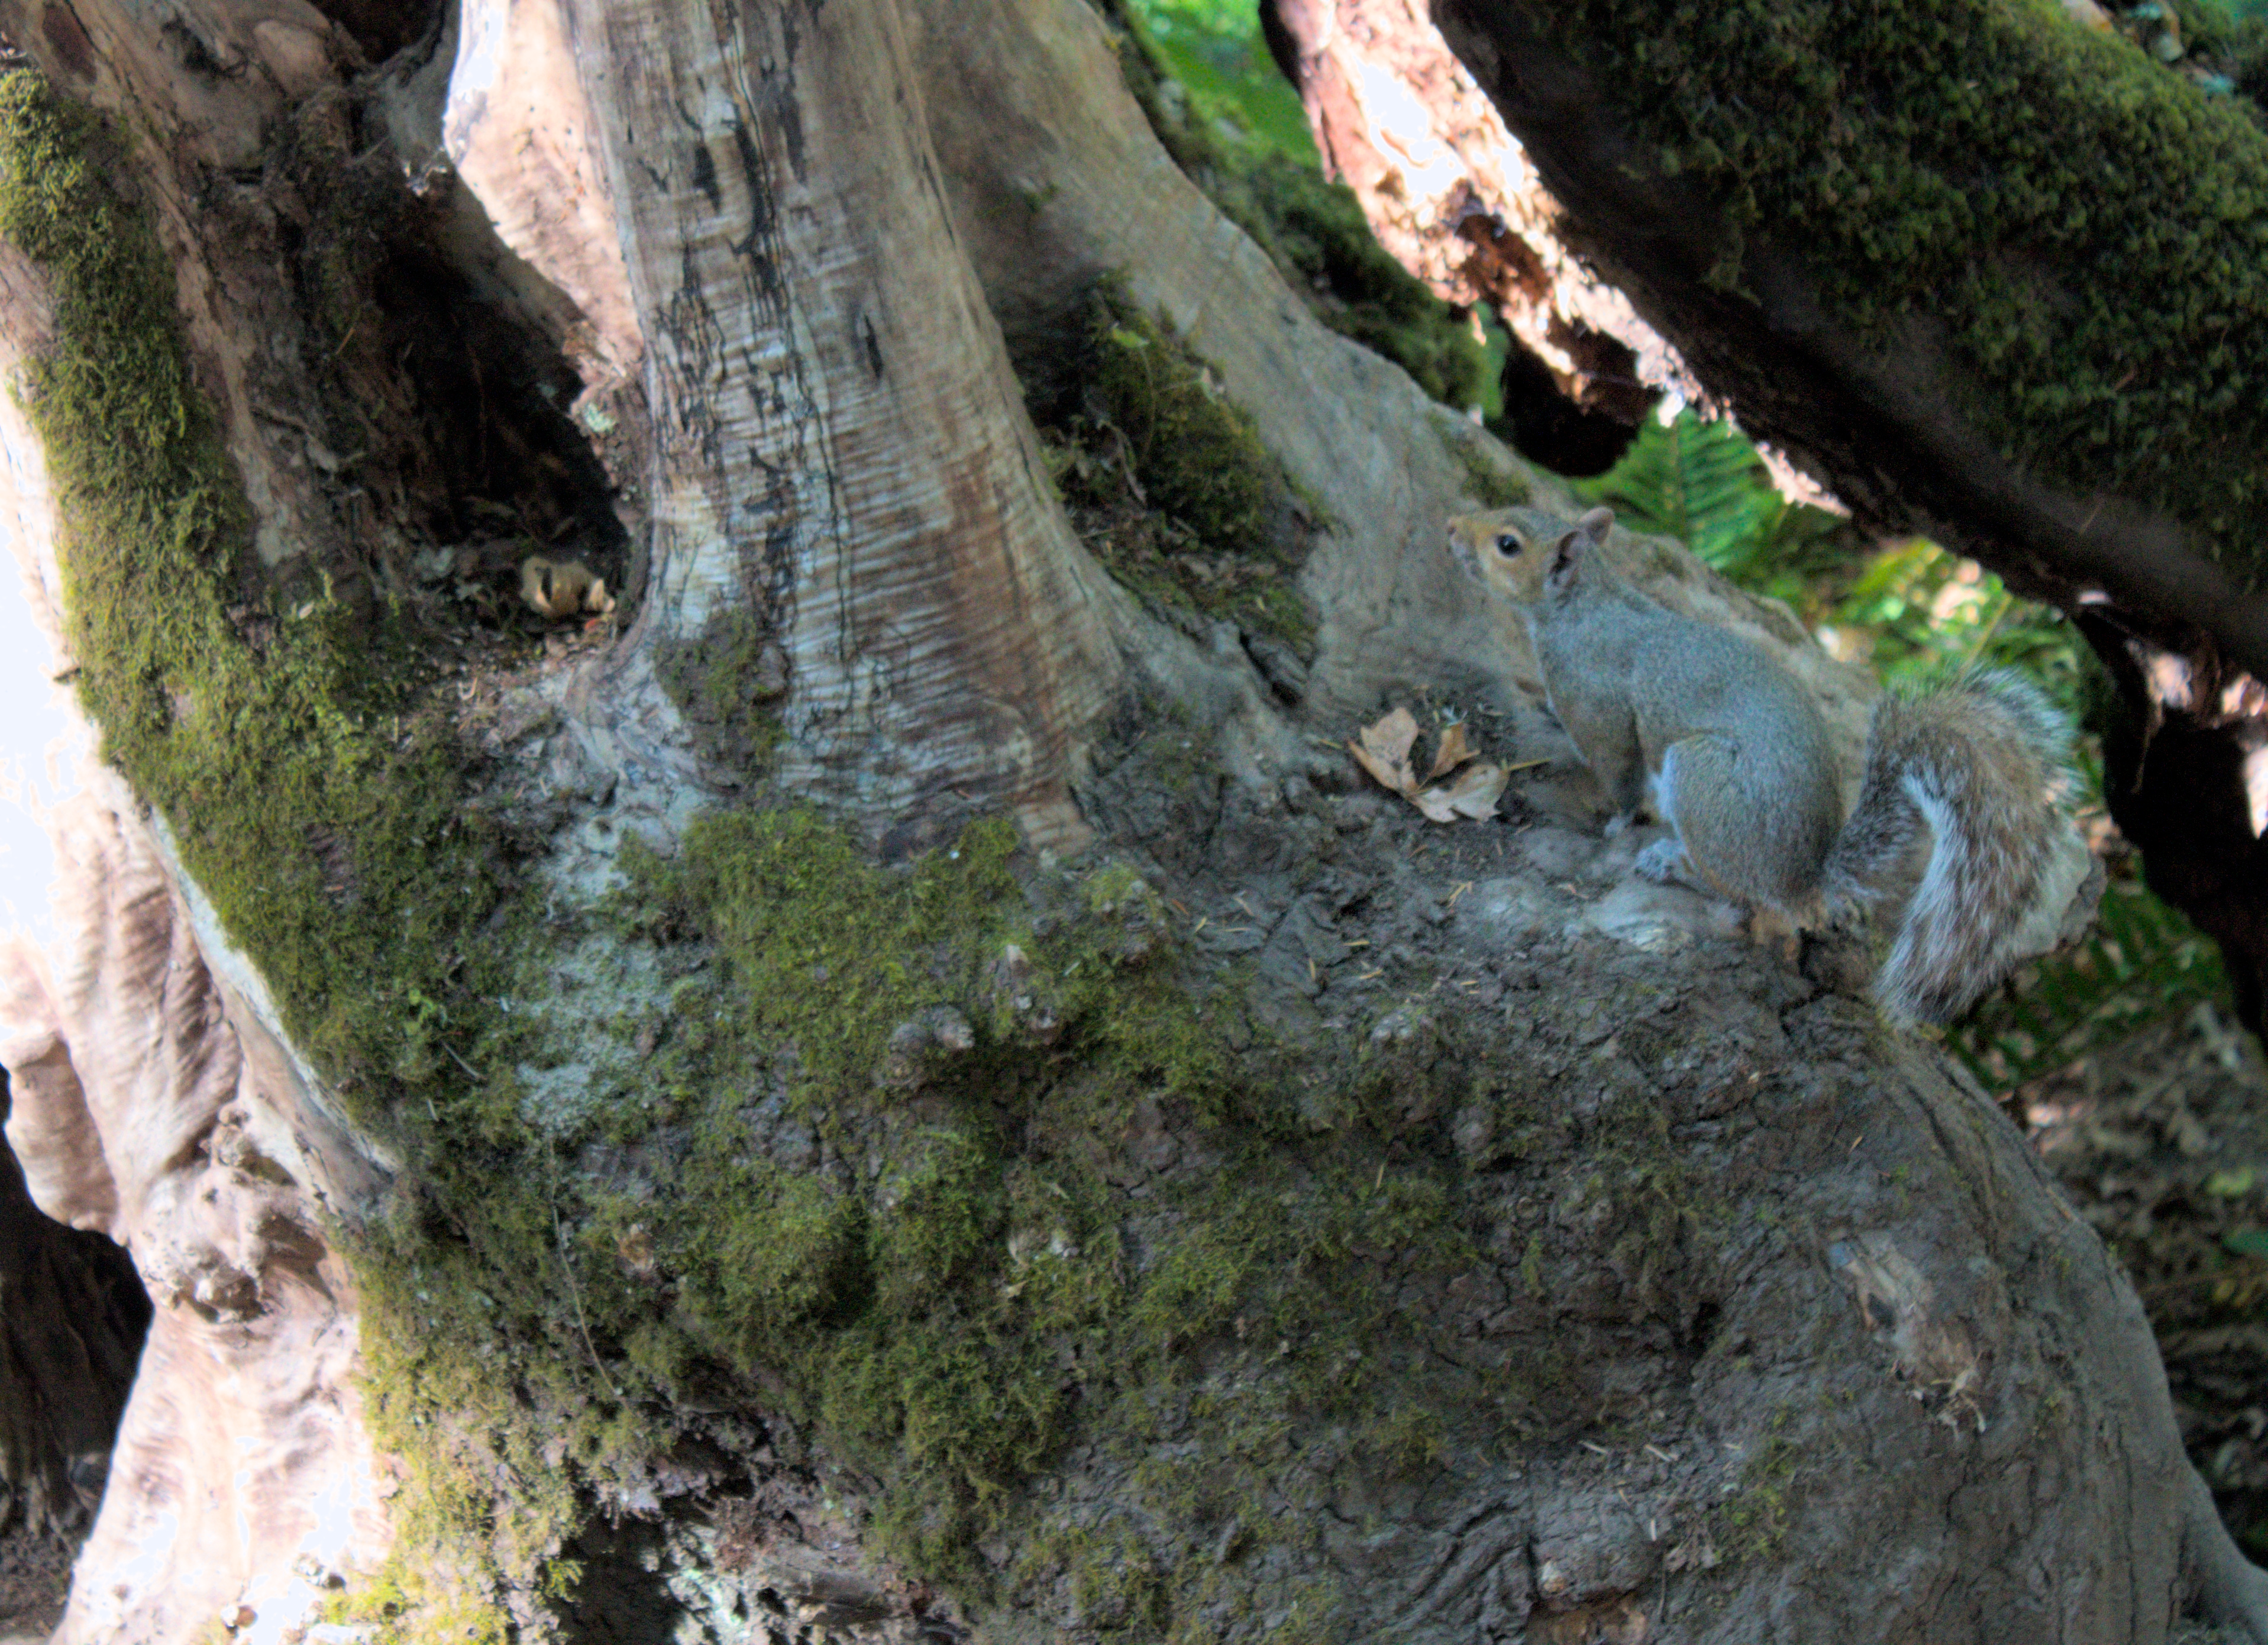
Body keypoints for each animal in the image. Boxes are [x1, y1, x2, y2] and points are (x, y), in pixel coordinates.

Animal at [1447, 502, 2077, 1024]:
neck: (1580, 606)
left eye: (1507, 543)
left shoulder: (1603, 712)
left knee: (1739, 899)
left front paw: (1614, 823)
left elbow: (1621, 777)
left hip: (1702, 779)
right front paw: (1545, 710)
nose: (1452, 528)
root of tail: (1804, 880)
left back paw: (1669, 863)